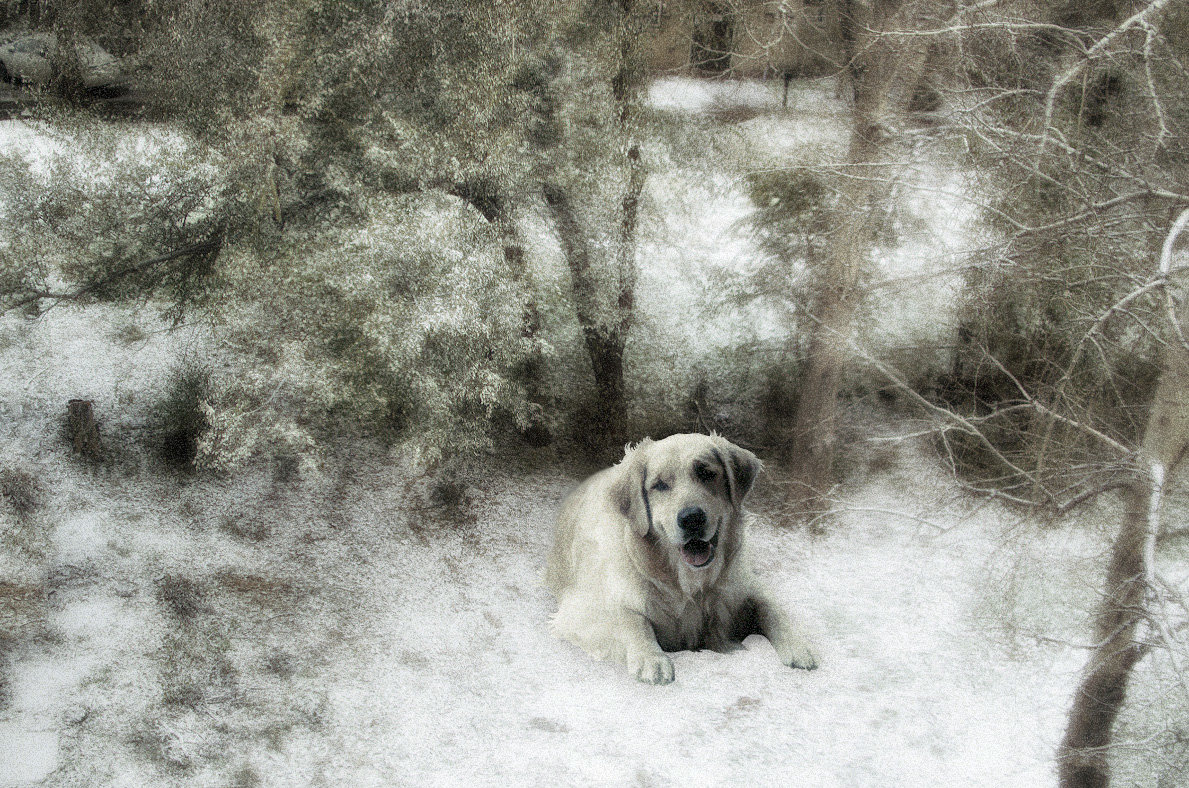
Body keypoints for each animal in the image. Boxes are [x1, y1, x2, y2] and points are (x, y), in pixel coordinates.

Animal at [544, 432, 818, 684]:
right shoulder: (582, 609)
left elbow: (771, 608)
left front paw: (799, 646)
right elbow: (630, 617)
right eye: (659, 485)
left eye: (706, 473)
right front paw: (651, 659)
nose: (691, 518)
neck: (687, 584)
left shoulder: (742, 589)